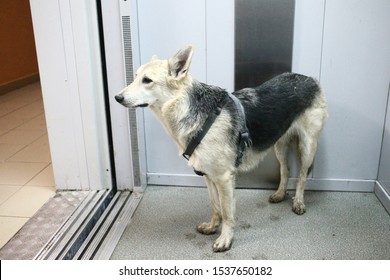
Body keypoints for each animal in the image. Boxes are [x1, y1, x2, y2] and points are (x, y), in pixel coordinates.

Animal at [114, 45, 328, 252]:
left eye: (147, 80)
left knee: (301, 175)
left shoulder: (224, 178)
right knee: (285, 169)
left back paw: (298, 201)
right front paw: (211, 227)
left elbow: (226, 212)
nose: (117, 97)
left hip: (308, 146)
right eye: (135, 77)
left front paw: (225, 239)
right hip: (280, 145)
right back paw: (280, 194)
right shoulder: (208, 176)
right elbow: (215, 206)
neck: (190, 110)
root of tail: (309, 78)